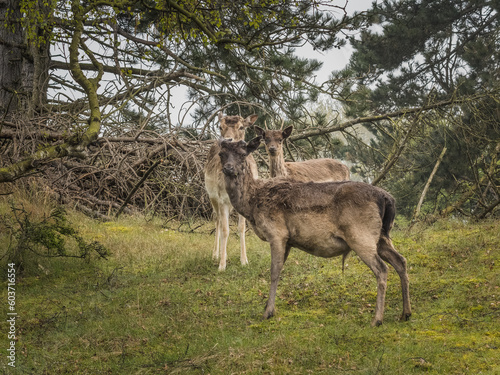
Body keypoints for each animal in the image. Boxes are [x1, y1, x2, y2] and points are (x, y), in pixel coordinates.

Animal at [203, 113, 258, 272]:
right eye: (220, 126)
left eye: (241, 127)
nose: (228, 140)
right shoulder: (221, 199)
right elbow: (225, 229)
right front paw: (222, 266)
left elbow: (241, 228)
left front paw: (244, 260)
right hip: (212, 197)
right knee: (217, 220)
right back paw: (216, 254)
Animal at [218, 137, 410, 326]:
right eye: (221, 153)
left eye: (243, 153)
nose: (228, 168)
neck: (252, 205)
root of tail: (387, 198)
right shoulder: (288, 240)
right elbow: (279, 269)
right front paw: (268, 308)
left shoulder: (277, 233)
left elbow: (274, 271)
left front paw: (268, 312)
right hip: (382, 236)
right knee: (400, 260)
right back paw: (405, 313)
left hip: (361, 236)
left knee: (382, 268)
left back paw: (377, 319)